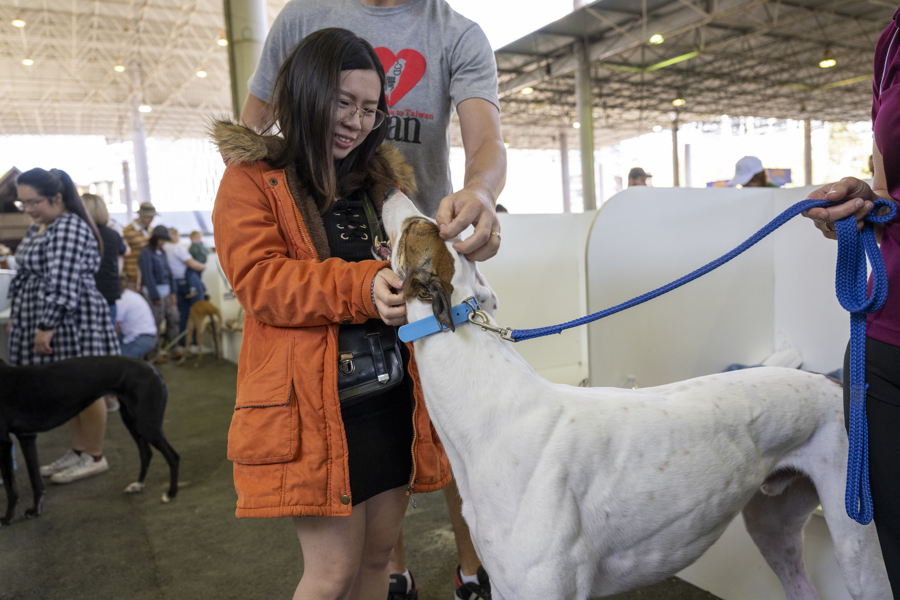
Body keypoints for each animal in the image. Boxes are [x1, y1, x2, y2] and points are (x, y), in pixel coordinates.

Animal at [0, 356, 180, 526]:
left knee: (173, 456)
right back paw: (138, 485)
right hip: (131, 420)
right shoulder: (27, 437)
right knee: (146, 453)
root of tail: (153, 368)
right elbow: (35, 481)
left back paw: (171, 493)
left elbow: (10, 488)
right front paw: (35, 510)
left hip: (146, 424)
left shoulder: (4, 443)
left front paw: (7, 518)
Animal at [381, 190, 890, 600]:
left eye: (416, 226)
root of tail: (833, 382)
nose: (387, 187)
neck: (492, 409)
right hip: (773, 527)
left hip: (858, 542)